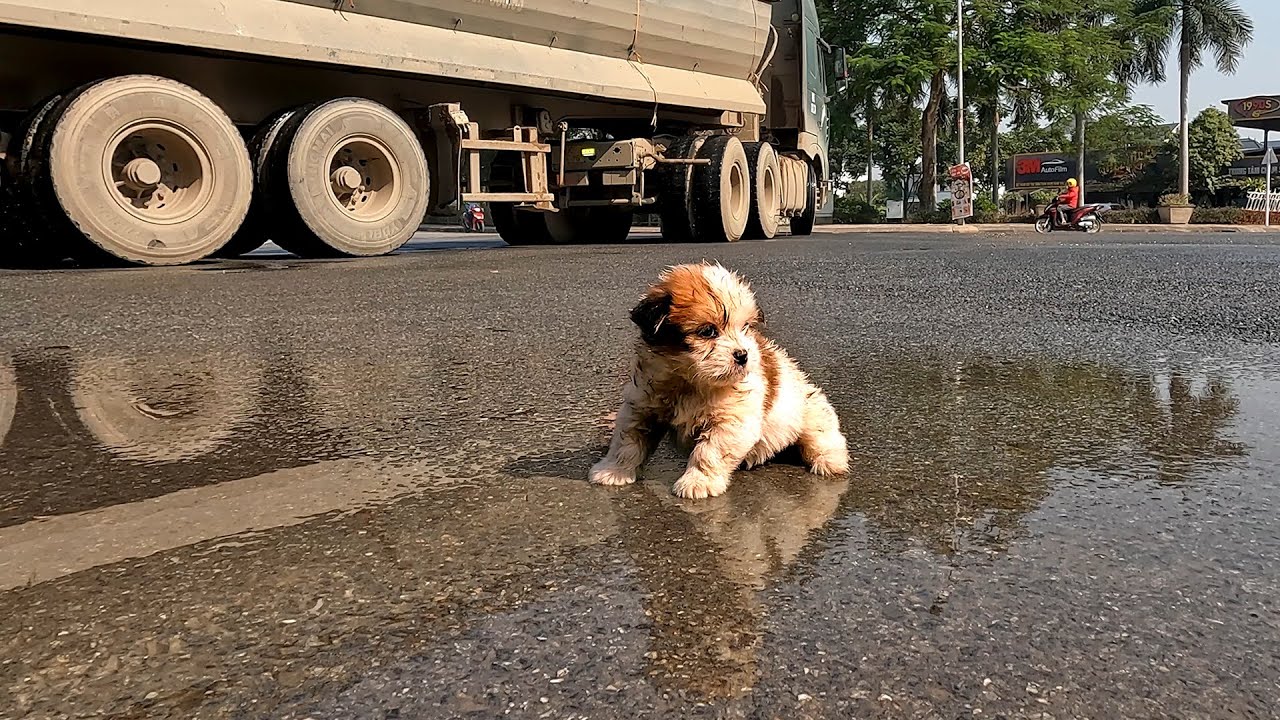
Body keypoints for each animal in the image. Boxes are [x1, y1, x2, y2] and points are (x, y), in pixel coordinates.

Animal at [588, 260, 849, 497]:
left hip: (811, 412)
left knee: (822, 437)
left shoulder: (732, 421)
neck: (689, 382)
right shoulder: (642, 405)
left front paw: (697, 482)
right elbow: (627, 442)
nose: (743, 355)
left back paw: (830, 461)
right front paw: (613, 471)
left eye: (745, 327)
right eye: (708, 331)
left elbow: (708, 452)